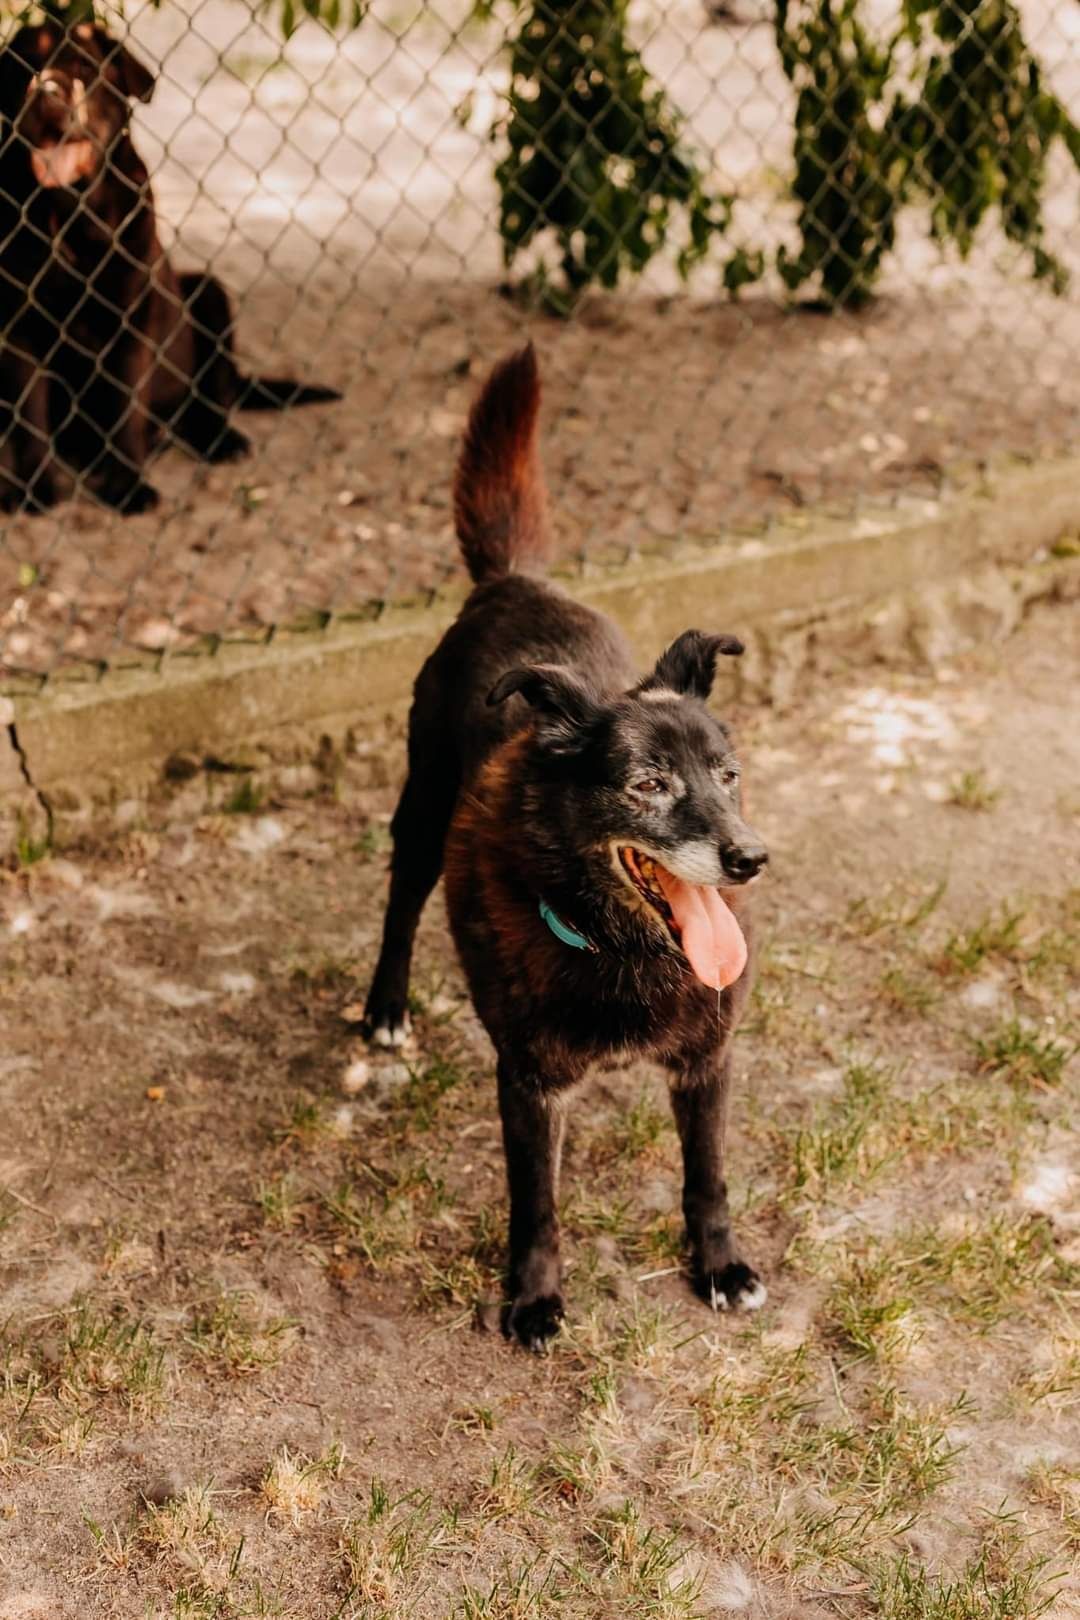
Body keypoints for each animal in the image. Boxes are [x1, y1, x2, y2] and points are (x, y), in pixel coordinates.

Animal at [0, 20, 338, 511]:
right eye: (21, 64)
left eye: (83, 66)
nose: (45, 90)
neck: (70, 217)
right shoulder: (20, 331)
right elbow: (31, 416)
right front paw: (37, 491)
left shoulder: (132, 323)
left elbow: (125, 409)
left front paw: (129, 487)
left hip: (208, 293)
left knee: (210, 399)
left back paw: (221, 441)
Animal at [367, 348, 773, 1347]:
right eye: (648, 785)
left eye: (729, 774)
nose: (750, 859)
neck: (622, 947)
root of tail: (513, 583)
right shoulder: (527, 1079)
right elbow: (537, 1205)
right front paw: (534, 1298)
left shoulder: (710, 1060)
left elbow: (708, 1178)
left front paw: (719, 1267)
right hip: (421, 805)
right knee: (399, 903)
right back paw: (385, 1009)